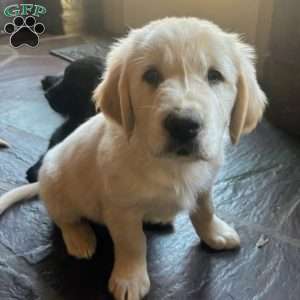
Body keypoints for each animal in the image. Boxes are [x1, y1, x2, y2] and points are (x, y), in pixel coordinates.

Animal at [0, 18, 268, 300]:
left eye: (215, 76)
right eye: (151, 75)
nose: (183, 126)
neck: (173, 165)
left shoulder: (205, 185)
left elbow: (206, 211)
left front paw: (215, 234)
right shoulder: (122, 208)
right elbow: (132, 243)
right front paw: (130, 279)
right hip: (56, 184)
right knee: (64, 218)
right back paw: (80, 239)